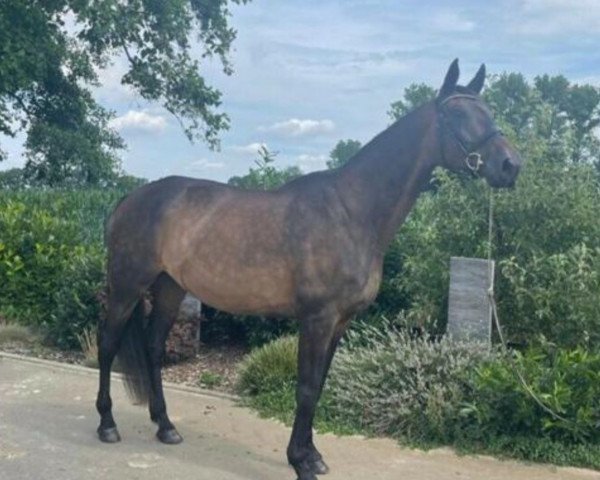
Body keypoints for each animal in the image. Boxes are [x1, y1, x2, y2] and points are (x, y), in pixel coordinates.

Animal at [95, 60, 520, 480]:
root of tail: (129, 199)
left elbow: (319, 386)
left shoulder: (341, 321)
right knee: (108, 344)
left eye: (488, 112)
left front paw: (311, 455)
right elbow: (306, 387)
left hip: (170, 287)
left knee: (153, 347)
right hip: (127, 286)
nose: (510, 165)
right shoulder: (317, 317)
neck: (351, 212)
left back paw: (166, 426)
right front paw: (301, 461)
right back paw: (107, 425)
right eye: (457, 114)